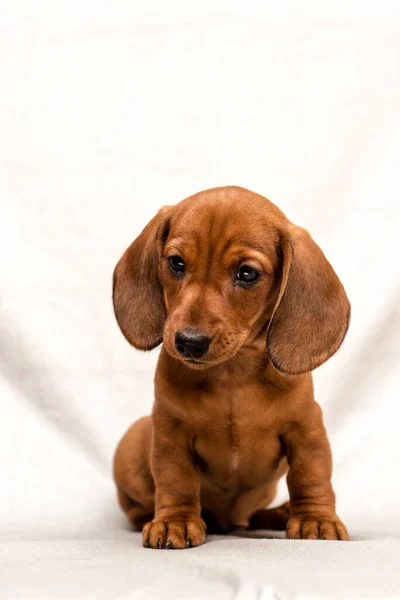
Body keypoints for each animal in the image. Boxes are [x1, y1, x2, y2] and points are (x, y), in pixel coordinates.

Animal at [112, 188, 350, 548]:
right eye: (176, 263)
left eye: (247, 273)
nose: (189, 342)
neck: (232, 375)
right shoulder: (169, 430)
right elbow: (176, 480)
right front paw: (174, 522)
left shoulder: (306, 428)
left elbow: (311, 475)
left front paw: (316, 518)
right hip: (133, 442)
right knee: (138, 506)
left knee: (253, 516)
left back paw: (279, 514)